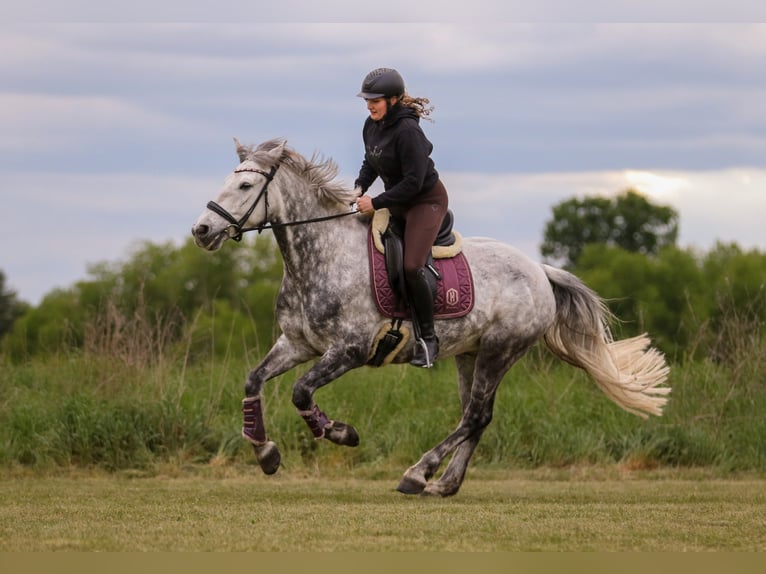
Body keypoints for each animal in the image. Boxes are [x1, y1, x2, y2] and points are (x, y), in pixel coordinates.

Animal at [191, 137, 671, 497]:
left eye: (245, 185)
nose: (202, 231)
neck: (320, 257)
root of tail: (540, 270)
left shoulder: (348, 350)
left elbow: (300, 392)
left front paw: (342, 433)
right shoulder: (297, 343)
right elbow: (254, 380)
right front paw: (265, 453)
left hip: (500, 350)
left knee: (474, 417)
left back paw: (417, 474)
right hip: (470, 355)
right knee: (475, 416)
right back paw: (443, 485)